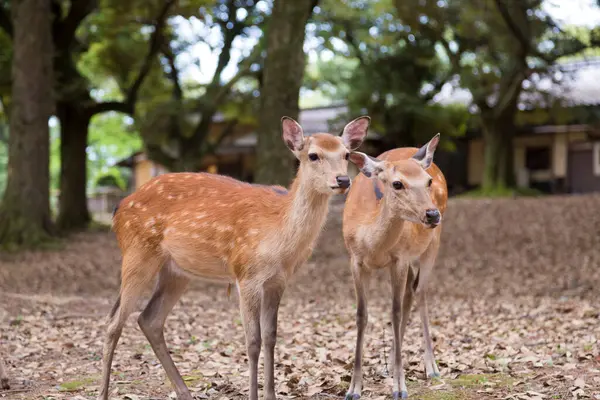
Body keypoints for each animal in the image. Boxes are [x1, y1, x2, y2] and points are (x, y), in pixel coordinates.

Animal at [98, 115, 370, 400]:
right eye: (313, 155)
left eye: (347, 154)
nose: (343, 180)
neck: (279, 236)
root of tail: (119, 208)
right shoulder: (246, 273)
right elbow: (253, 341)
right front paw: (254, 395)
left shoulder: (278, 280)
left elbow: (271, 336)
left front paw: (271, 395)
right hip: (137, 253)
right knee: (113, 322)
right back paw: (104, 392)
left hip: (176, 271)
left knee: (148, 319)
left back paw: (184, 392)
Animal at [340, 135, 448, 400]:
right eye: (397, 183)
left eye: (428, 181)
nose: (432, 214)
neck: (373, 245)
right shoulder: (355, 260)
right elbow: (361, 315)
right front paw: (353, 389)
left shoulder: (399, 258)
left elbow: (394, 313)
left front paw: (400, 387)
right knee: (410, 291)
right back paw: (387, 365)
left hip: (432, 243)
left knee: (419, 291)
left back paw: (431, 367)